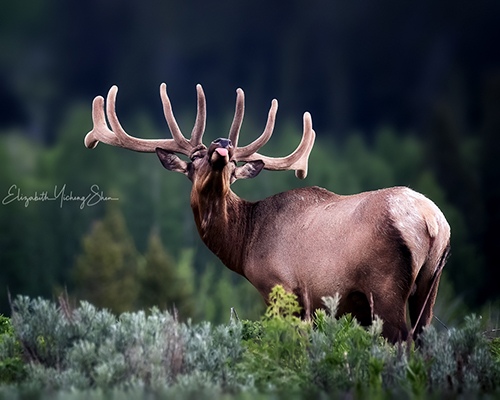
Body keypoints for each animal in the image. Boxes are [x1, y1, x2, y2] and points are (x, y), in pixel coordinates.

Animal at [84, 83, 452, 340]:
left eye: (233, 163)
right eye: (195, 158)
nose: (222, 144)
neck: (245, 245)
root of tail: (433, 223)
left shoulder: (282, 287)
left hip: (385, 286)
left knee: (401, 341)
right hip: (430, 286)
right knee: (422, 339)